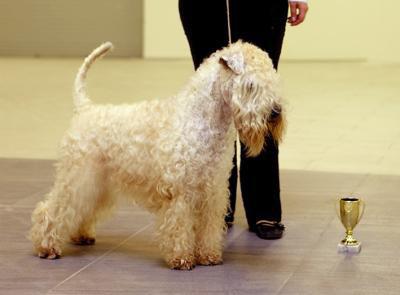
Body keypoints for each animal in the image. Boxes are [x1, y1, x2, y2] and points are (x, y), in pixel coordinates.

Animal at [29, 41, 286, 270]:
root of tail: (85, 108)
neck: (203, 119)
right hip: (78, 177)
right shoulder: (182, 191)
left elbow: (209, 227)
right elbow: (180, 226)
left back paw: (81, 235)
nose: (275, 112)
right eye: (250, 85)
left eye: (272, 81)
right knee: (52, 209)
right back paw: (47, 247)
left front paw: (209, 255)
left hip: (97, 183)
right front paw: (182, 259)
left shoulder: (213, 190)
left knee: (83, 209)